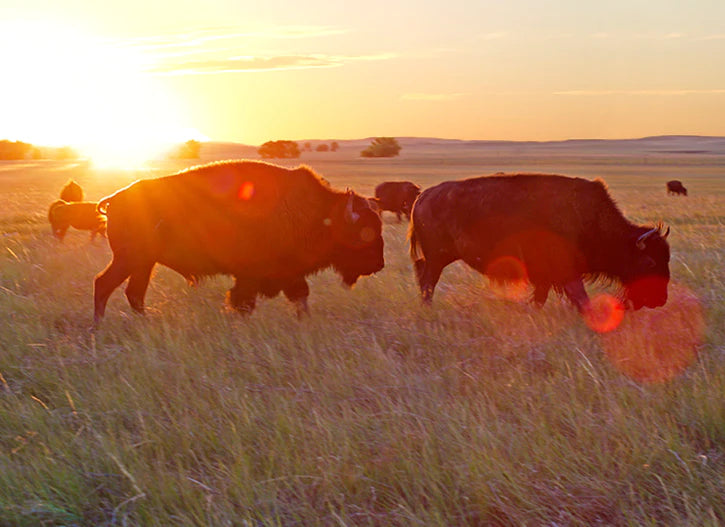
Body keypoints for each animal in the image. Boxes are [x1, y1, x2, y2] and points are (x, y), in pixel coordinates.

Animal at [93, 160, 384, 322]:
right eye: (364, 231)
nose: (379, 265)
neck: (320, 213)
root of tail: (115, 199)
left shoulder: (289, 274)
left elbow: (299, 296)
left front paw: (306, 322)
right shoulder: (252, 276)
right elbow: (243, 302)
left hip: (144, 263)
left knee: (134, 294)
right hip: (129, 259)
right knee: (104, 285)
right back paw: (99, 327)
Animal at [409, 173, 671, 312]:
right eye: (649, 262)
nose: (660, 300)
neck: (589, 218)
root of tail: (422, 197)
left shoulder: (547, 277)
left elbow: (542, 297)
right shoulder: (565, 273)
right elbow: (579, 297)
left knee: (423, 274)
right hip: (438, 257)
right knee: (428, 279)